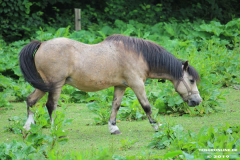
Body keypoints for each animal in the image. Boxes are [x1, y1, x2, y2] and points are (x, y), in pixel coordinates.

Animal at [19, 34, 202, 134]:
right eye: (191, 80)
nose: (197, 101)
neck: (138, 55)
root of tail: (42, 44)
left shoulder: (121, 86)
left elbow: (116, 106)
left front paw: (113, 128)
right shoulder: (137, 84)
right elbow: (147, 107)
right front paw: (157, 127)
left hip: (44, 85)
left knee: (30, 100)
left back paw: (28, 127)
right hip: (55, 85)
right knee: (50, 105)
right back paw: (56, 130)